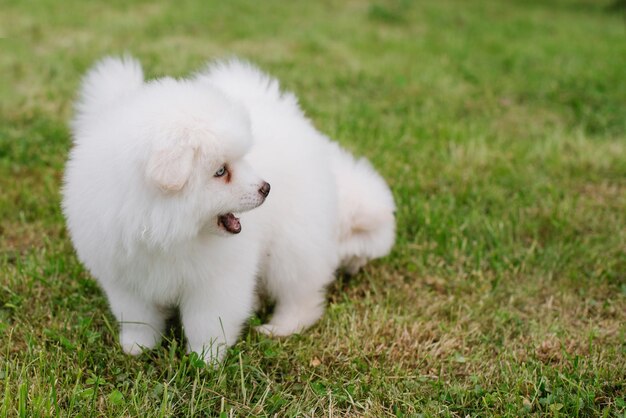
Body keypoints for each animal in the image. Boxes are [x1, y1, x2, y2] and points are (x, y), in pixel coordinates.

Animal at [63, 56, 394, 362]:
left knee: (300, 293)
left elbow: (206, 322)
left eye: (242, 160)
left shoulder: (215, 282)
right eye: (221, 171)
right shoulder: (126, 279)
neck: (165, 231)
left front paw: (205, 359)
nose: (266, 188)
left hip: (293, 243)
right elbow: (138, 318)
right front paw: (137, 347)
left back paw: (280, 327)